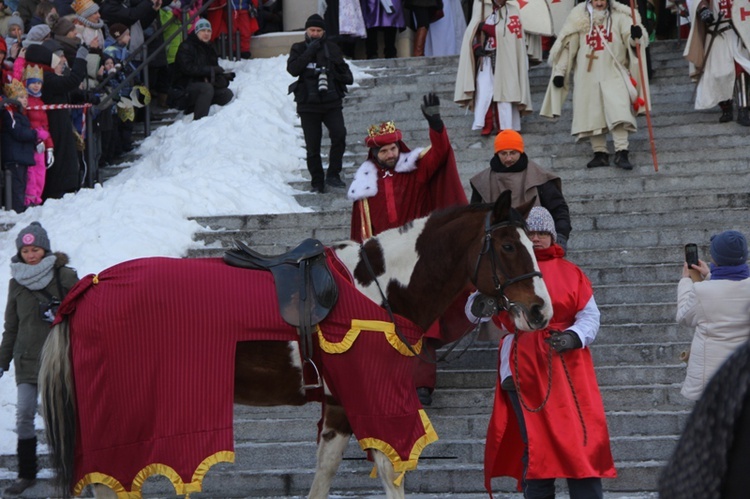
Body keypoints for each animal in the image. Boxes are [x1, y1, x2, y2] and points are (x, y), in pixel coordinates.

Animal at [39, 191, 552, 499]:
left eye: (532, 243)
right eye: (508, 246)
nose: (541, 312)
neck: (377, 286)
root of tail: (87, 288)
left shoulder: (341, 403)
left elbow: (325, 474)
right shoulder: (373, 397)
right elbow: (390, 472)